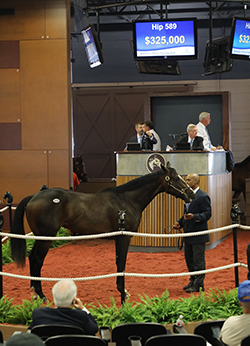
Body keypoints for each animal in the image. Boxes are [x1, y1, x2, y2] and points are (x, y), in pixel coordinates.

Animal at [10, 162, 195, 300]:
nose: (191, 195)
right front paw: (123, 293)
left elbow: (119, 262)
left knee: (32, 258)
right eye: (176, 178)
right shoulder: (124, 237)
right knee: (36, 259)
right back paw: (41, 295)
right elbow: (121, 263)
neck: (126, 199)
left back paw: (36, 294)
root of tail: (33, 197)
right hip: (46, 237)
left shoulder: (118, 237)